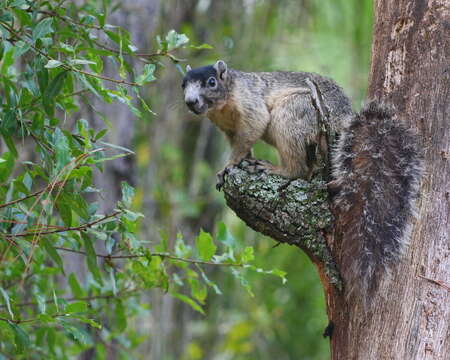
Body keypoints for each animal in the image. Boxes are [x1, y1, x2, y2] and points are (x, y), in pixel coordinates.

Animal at [180, 60, 422, 302]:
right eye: (183, 84)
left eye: (212, 82)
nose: (190, 102)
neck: (223, 103)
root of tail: (342, 122)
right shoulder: (228, 128)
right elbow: (242, 146)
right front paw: (236, 163)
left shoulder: (250, 105)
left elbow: (252, 131)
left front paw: (229, 166)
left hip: (293, 113)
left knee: (298, 169)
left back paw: (277, 169)